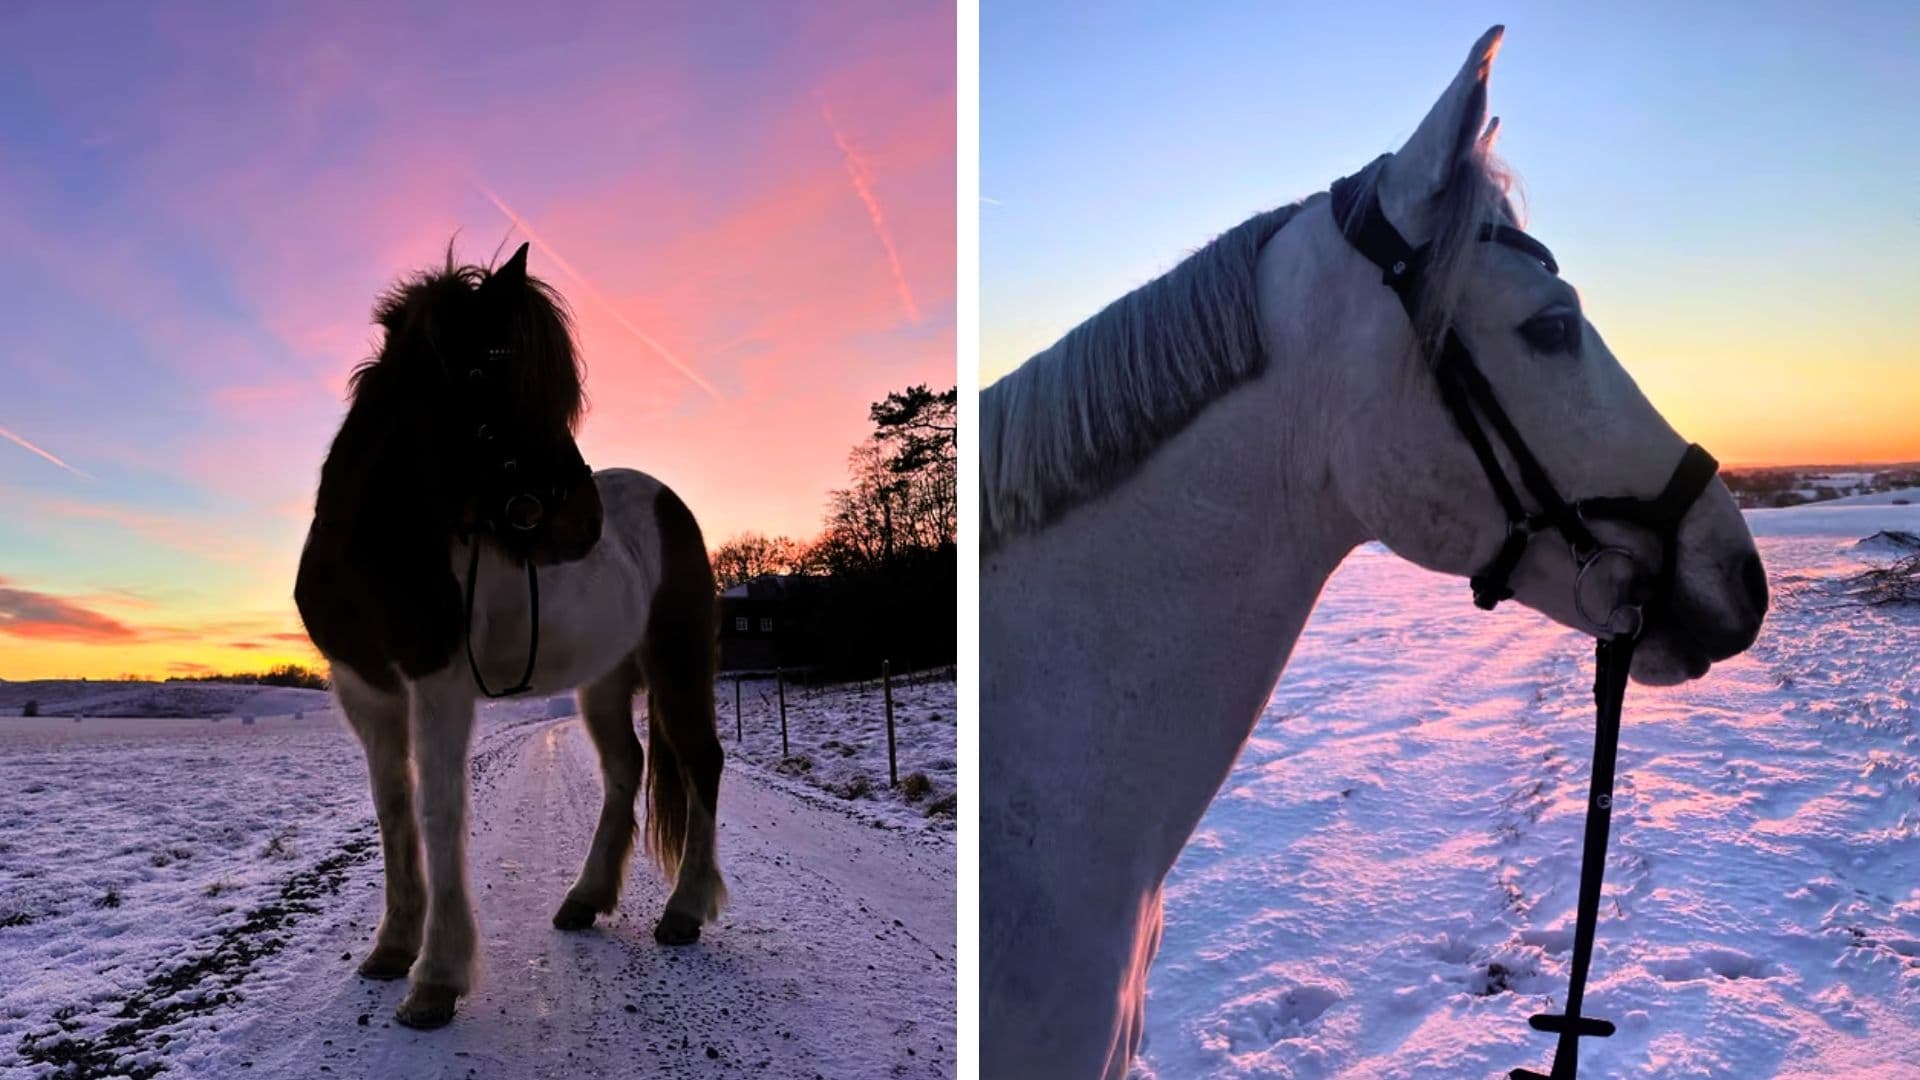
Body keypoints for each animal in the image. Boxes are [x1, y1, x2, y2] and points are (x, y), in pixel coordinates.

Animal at [294, 243, 727, 1029]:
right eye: (489, 372)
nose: (584, 521)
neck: (378, 544)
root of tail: (672, 508)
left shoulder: (436, 681)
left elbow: (439, 810)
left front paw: (436, 978)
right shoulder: (365, 690)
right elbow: (393, 811)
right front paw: (391, 949)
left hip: (679, 664)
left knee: (700, 761)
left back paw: (684, 910)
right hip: (604, 681)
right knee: (627, 767)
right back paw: (585, 899)